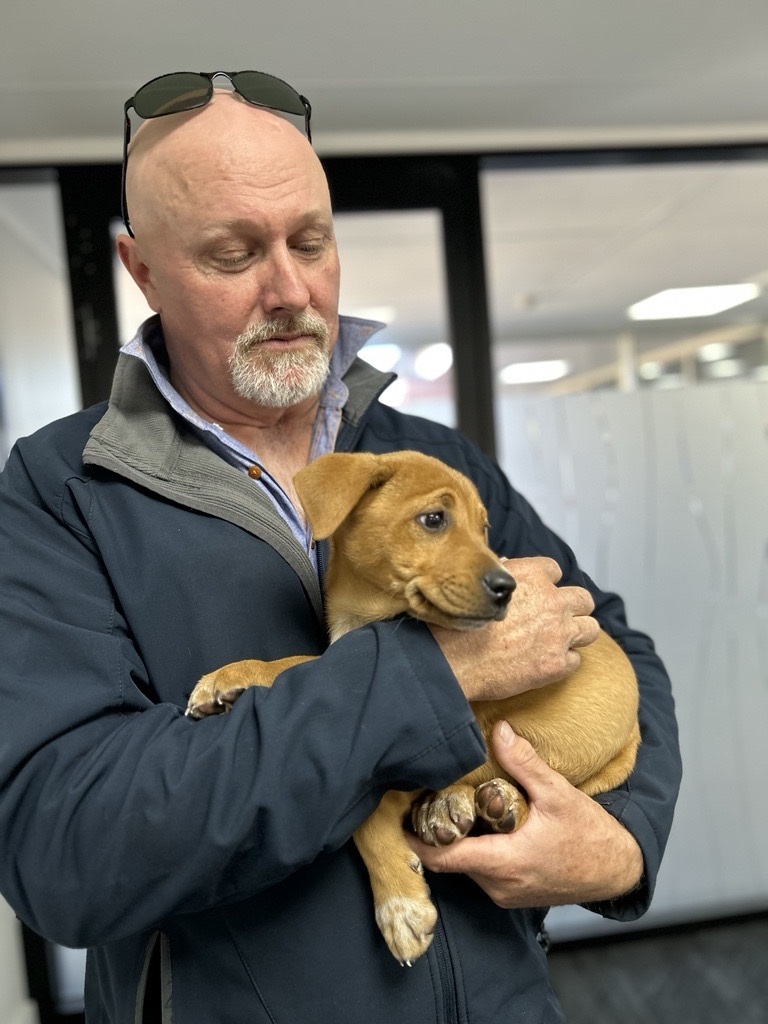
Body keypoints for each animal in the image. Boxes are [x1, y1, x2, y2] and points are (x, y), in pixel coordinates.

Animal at [188, 452, 643, 962]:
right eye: (434, 519)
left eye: (484, 529)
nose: (506, 587)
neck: (365, 615)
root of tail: (632, 736)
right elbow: (308, 663)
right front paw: (233, 678)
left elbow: (366, 811)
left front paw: (399, 903)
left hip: (503, 729)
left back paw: (480, 803)